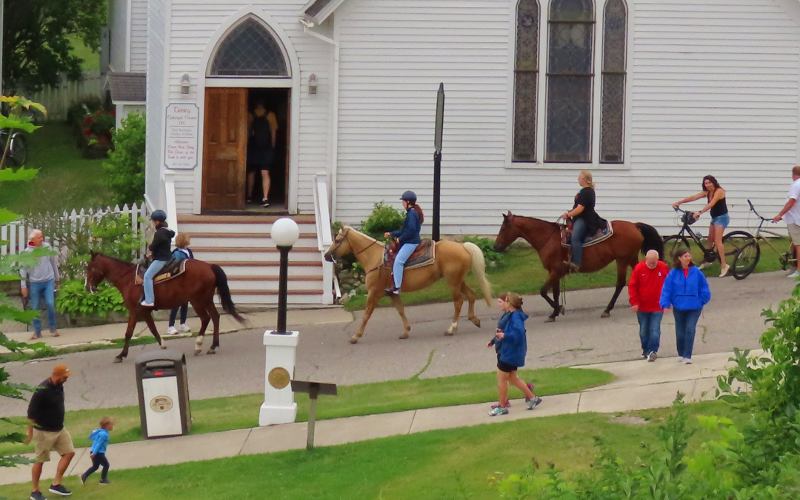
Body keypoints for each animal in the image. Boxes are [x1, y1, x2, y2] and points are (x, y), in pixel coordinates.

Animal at [85, 252, 245, 362]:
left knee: (206, 318)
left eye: (90, 268)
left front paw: (121, 355)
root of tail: (209, 266)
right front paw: (162, 344)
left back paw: (199, 345)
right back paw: (213, 346)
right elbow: (152, 328)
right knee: (215, 317)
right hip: (206, 300)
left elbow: (129, 333)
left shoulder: (135, 311)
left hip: (198, 301)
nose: (87, 287)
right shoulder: (144, 312)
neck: (128, 279)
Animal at [322, 227, 490, 344]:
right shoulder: (392, 293)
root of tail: (463, 246)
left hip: (453, 282)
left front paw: (356, 336)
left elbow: (366, 314)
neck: (375, 258)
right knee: (471, 295)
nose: (326, 255)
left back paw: (451, 329)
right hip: (458, 281)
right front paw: (406, 331)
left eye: (338, 240)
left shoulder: (374, 293)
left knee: (458, 301)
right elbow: (401, 310)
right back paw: (474, 320)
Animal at [494, 213, 664, 322]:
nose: (496, 247)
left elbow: (543, 291)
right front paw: (554, 313)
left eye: (503, 228)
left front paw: (558, 309)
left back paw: (607, 310)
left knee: (620, 283)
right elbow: (555, 293)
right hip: (630, 258)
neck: (548, 239)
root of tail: (635, 225)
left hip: (622, 259)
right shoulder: (555, 272)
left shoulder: (555, 271)